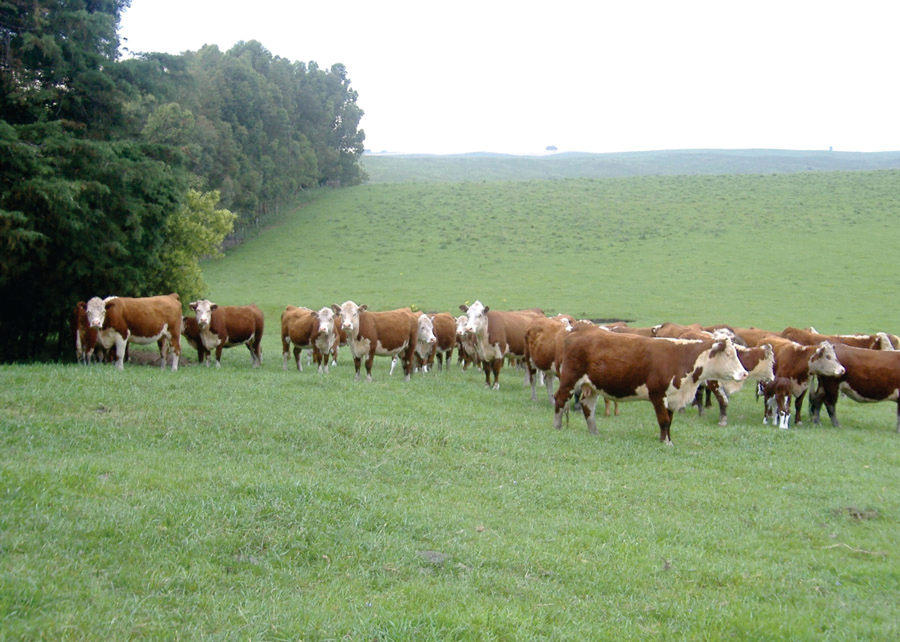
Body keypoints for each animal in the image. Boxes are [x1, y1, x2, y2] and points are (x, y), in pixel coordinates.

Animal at [552, 322, 748, 442]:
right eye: (728, 354)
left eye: (736, 353)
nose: (744, 373)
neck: (681, 357)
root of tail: (581, 328)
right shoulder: (658, 395)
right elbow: (663, 420)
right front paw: (666, 442)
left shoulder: (673, 397)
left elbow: (669, 421)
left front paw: (665, 439)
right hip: (570, 379)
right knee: (560, 399)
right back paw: (557, 426)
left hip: (591, 386)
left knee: (588, 406)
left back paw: (594, 431)